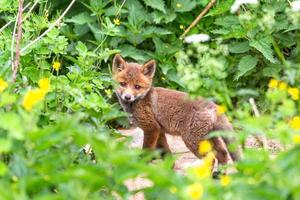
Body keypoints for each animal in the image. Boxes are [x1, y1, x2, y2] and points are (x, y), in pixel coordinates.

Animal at [112, 54, 241, 167]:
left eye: (137, 87)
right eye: (122, 84)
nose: (127, 97)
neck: (140, 100)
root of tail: (214, 106)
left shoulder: (151, 128)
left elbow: (146, 152)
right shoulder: (160, 131)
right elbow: (166, 153)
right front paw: (170, 170)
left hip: (192, 140)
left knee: (211, 159)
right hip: (209, 138)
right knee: (223, 154)